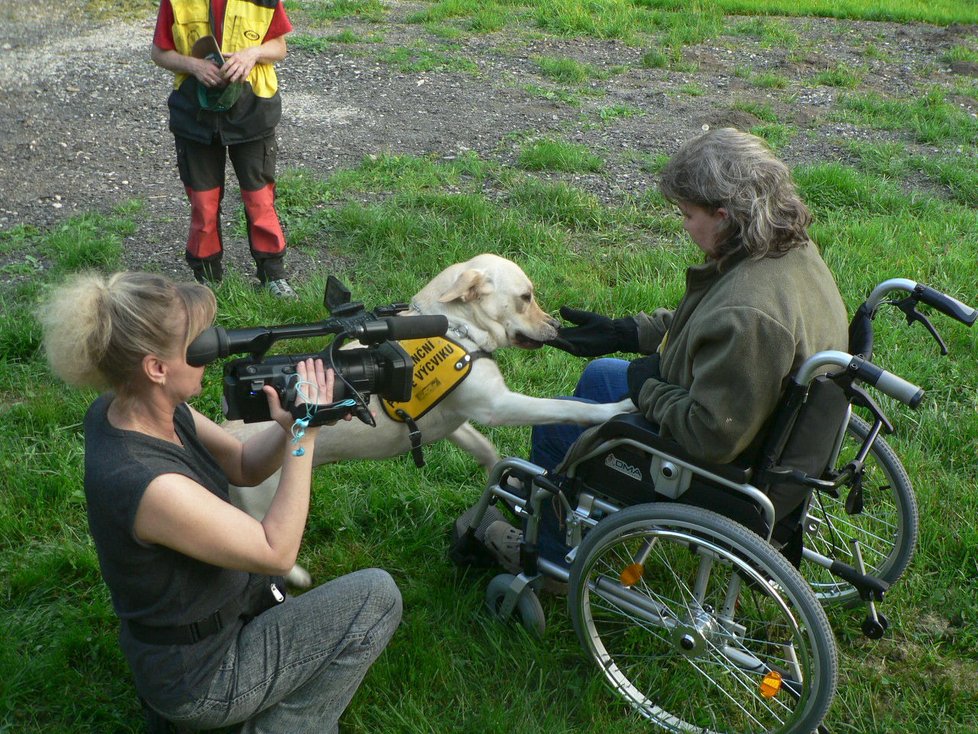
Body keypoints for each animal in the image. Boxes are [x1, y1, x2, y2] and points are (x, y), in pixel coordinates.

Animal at [224, 253, 628, 588]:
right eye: (526, 297)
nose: (557, 326)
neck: (458, 328)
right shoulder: (498, 406)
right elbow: (565, 408)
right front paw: (615, 410)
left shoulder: (459, 422)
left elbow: (488, 451)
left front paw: (509, 479)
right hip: (265, 510)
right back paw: (295, 576)